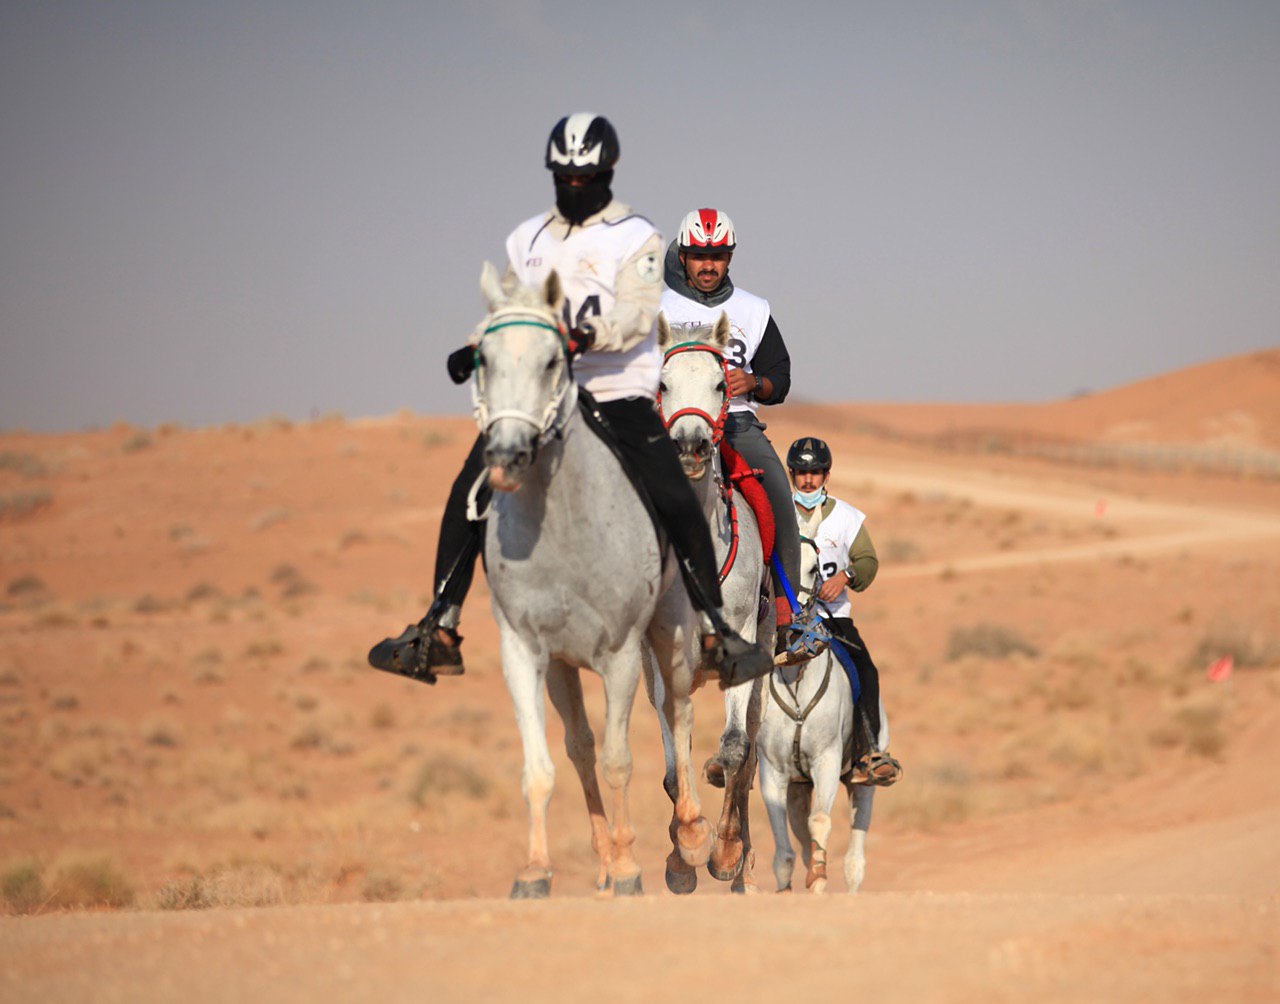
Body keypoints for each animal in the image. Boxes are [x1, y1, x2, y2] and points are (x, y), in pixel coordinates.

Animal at [473, 262, 716, 896]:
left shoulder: (621, 655)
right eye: (483, 358)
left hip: (670, 637)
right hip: (564, 667)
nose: (507, 455)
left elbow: (619, 759)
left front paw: (631, 869)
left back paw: (693, 836)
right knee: (581, 746)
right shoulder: (526, 653)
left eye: (552, 362)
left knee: (680, 714)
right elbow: (547, 764)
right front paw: (537, 871)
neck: (564, 531)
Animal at [757, 540, 880, 896]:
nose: (793, 626)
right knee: (801, 839)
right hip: (798, 788)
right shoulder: (773, 771)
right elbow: (784, 850)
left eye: (816, 567)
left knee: (855, 857)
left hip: (861, 783)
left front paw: (819, 878)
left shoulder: (826, 759)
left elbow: (821, 821)